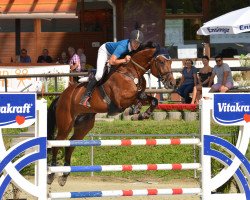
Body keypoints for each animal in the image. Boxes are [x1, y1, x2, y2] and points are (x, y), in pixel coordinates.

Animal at [47, 45, 176, 186]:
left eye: (171, 62)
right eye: (161, 62)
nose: (172, 83)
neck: (131, 73)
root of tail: (61, 97)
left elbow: (153, 100)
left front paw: (143, 114)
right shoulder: (121, 100)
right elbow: (140, 95)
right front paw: (136, 110)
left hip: (84, 125)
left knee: (70, 145)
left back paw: (64, 176)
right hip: (65, 124)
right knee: (57, 143)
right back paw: (51, 175)